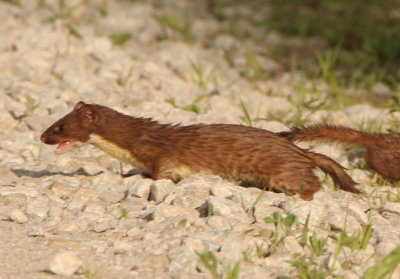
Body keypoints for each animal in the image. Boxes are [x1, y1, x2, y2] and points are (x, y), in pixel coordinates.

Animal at [41, 101, 360, 200]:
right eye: (55, 121)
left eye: (61, 126)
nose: (42, 137)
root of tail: (299, 150)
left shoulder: (159, 152)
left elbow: (161, 171)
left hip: (283, 171)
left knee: (312, 182)